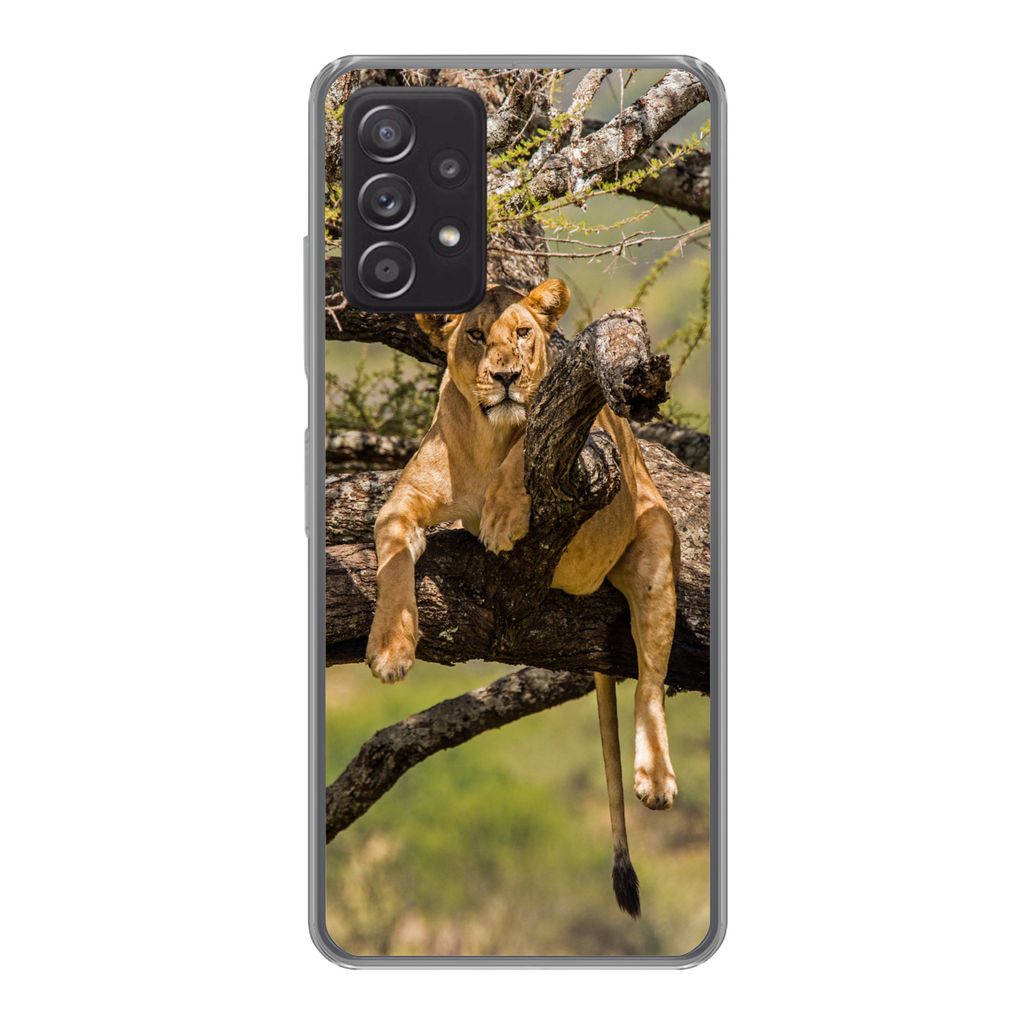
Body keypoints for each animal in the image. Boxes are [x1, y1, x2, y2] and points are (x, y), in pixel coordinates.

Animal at [365, 279, 679, 917]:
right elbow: (392, 563)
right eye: (476, 335)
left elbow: (524, 453)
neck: (487, 439)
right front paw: (390, 648)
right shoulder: (401, 506)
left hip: (654, 548)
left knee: (652, 679)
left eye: (523, 333)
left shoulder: (588, 444)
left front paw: (504, 518)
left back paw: (655, 778)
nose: (506, 375)